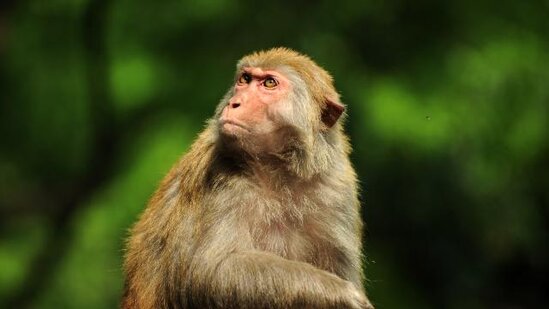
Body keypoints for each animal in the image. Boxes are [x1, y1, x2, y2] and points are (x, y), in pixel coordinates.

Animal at [121, 47, 372, 306]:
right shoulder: (223, 175)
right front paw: (339, 293)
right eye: (245, 79)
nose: (234, 103)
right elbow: (211, 270)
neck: (282, 172)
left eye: (269, 83)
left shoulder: (337, 186)